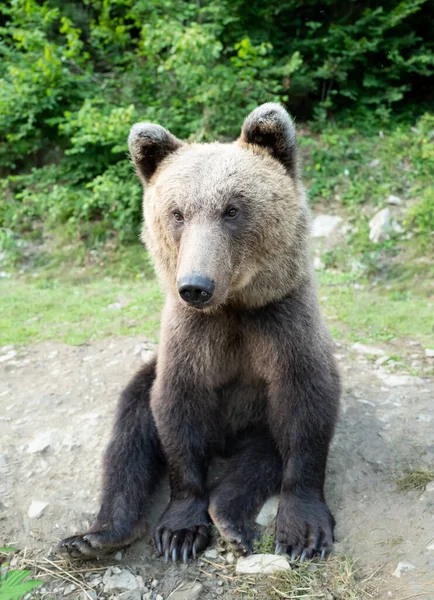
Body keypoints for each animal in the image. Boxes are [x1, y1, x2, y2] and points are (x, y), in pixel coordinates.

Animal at [57, 102, 340, 564]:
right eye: (177, 212)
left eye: (232, 209)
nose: (195, 285)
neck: (234, 307)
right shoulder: (191, 337)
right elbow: (177, 410)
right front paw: (180, 530)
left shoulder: (281, 322)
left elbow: (306, 407)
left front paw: (303, 532)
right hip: (148, 375)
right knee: (130, 432)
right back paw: (97, 535)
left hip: (256, 422)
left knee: (259, 458)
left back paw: (228, 516)